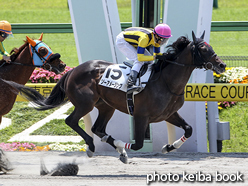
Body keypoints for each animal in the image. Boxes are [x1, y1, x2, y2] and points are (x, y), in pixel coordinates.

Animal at [2, 30, 227, 163]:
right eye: (204, 48)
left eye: (210, 46)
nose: (222, 64)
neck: (166, 81)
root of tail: (73, 70)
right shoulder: (141, 116)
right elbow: (137, 144)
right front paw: (122, 148)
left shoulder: (169, 114)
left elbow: (189, 129)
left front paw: (168, 147)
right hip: (85, 103)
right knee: (72, 121)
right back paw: (92, 146)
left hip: (106, 106)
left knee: (97, 128)